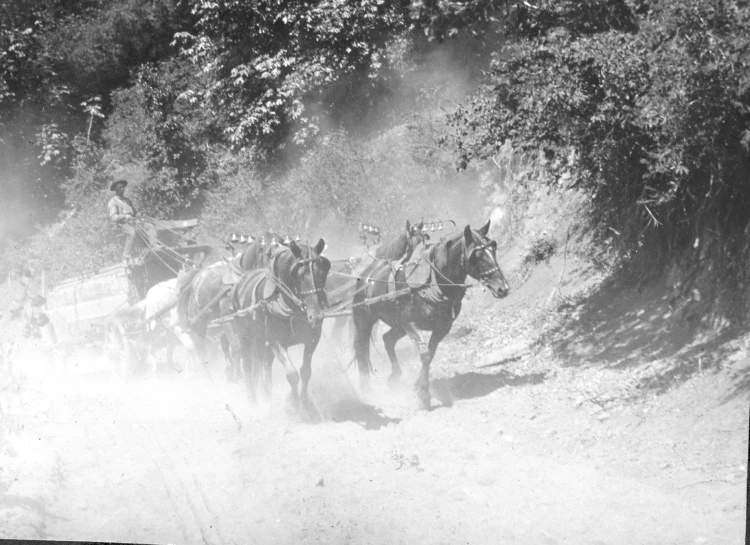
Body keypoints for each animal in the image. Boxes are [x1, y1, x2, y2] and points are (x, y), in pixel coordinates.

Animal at [231, 239, 330, 412]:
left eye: (323, 272)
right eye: (299, 275)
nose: (316, 316)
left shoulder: (312, 338)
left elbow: (305, 371)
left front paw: (304, 403)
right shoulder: (276, 341)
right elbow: (291, 374)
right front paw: (293, 403)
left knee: (264, 362)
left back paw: (268, 394)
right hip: (244, 335)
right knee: (248, 365)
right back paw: (252, 401)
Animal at [352, 219, 512, 406]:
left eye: (494, 249)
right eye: (476, 256)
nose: (502, 288)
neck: (433, 283)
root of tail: (366, 274)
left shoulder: (442, 327)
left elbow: (430, 354)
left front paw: (421, 387)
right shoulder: (410, 323)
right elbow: (425, 354)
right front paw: (424, 393)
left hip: (398, 324)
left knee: (388, 339)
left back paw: (395, 377)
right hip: (364, 319)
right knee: (360, 348)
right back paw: (365, 389)